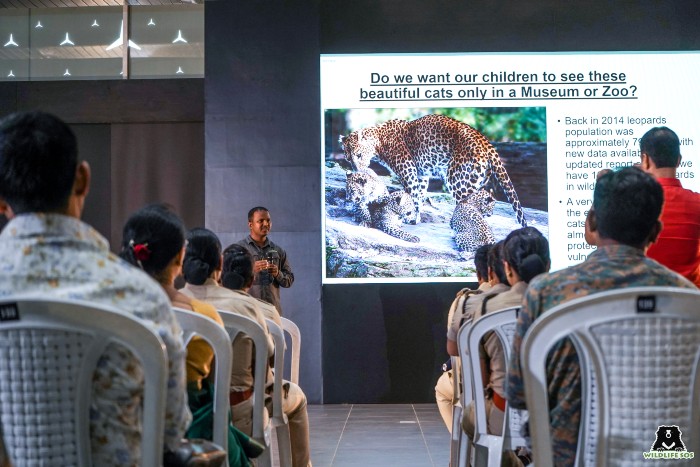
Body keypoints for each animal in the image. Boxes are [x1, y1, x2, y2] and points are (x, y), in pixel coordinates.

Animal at [340, 116, 524, 228]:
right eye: (348, 159)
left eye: (359, 155)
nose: (358, 170)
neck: (379, 141)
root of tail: (485, 141)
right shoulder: (421, 175)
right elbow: (419, 196)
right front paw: (416, 217)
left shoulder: (408, 171)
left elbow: (411, 195)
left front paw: (409, 218)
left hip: (458, 181)